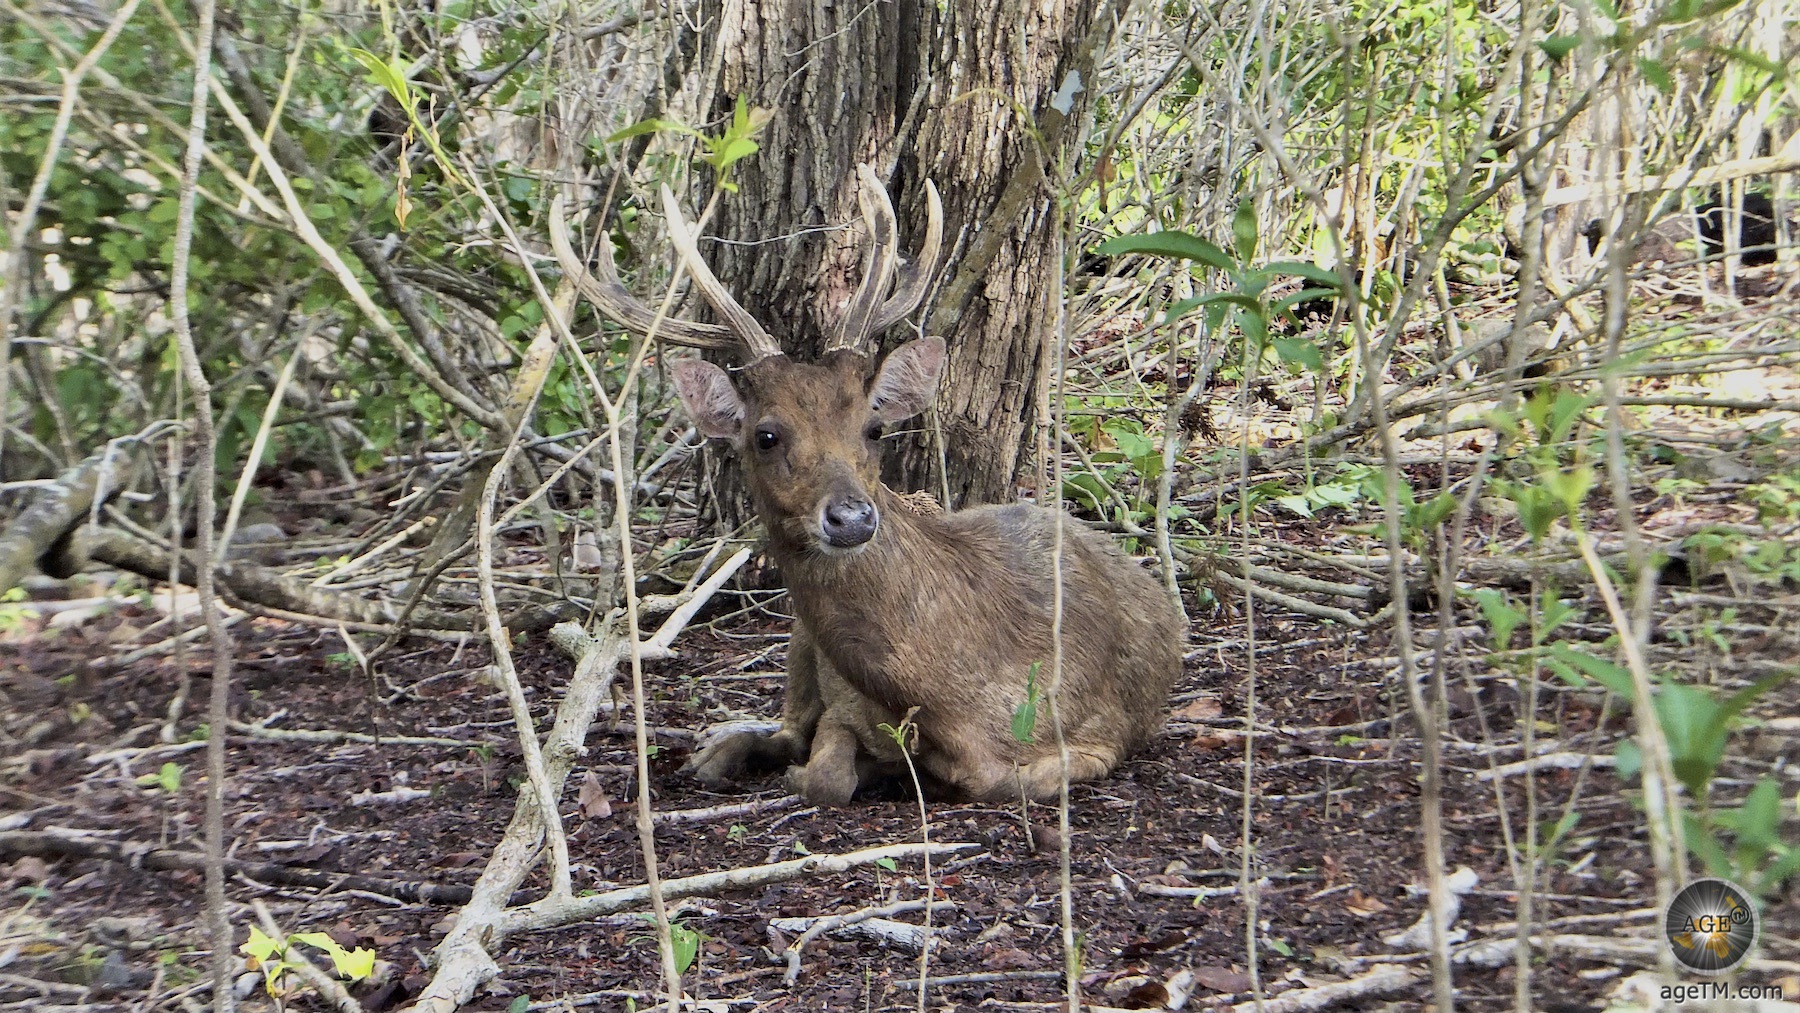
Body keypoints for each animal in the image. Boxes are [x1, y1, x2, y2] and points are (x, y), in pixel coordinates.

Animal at [554, 166, 1188, 806]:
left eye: (874, 427)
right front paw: (833, 767)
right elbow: (828, 771)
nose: (851, 518)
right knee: (784, 728)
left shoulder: (1101, 733)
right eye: (765, 434)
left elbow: (998, 780)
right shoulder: (845, 705)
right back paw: (717, 749)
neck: (953, 704)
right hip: (800, 641)